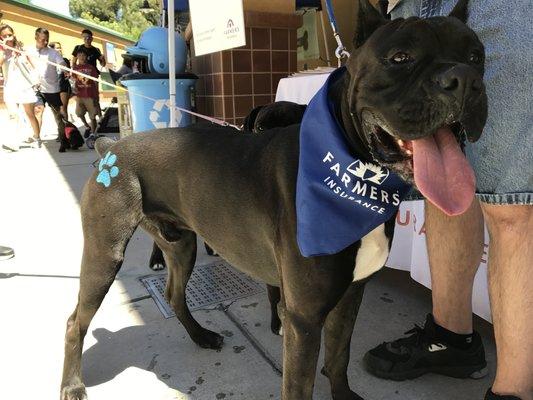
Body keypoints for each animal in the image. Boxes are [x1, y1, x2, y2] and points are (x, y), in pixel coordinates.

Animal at [61, 1, 486, 398]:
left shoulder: (350, 296)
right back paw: (72, 385)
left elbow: (339, 356)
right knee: (75, 321)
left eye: (476, 57)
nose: (464, 79)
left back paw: (201, 336)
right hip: (105, 254)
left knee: (174, 295)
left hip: (181, 245)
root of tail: (112, 146)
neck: (353, 173)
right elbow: (300, 384)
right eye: (400, 57)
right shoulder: (304, 318)